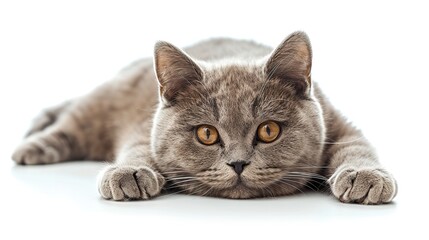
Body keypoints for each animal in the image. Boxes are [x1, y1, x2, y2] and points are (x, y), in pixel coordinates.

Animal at [11, 31, 396, 204]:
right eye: (207, 134)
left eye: (268, 130)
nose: (238, 163)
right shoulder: (142, 129)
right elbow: (138, 148)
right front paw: (129, 173)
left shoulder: (338, 123)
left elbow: (356, 146)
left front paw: (366, 177)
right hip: (101, 102)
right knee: (69, 121)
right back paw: (29, 148)